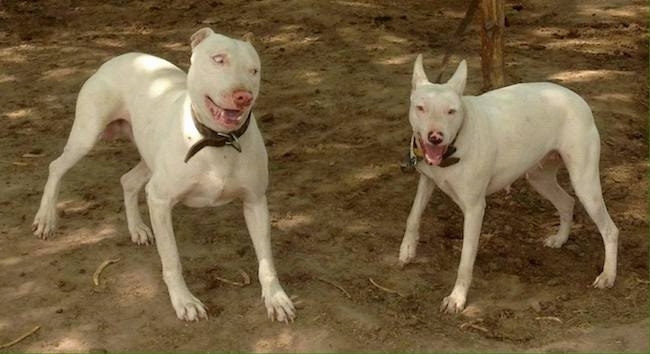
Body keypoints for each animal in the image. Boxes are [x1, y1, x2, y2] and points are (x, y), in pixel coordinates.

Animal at [31, 27, 294, 320]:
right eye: (218, 59)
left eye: (254, 70)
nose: (243, 96)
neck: (217, 141)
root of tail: (120, 58)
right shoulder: (159, 200)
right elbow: (171, 258)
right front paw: (184, 301)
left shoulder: (255, 202)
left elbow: (266, 260)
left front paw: (276, 298)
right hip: (87, 135)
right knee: (56, 167)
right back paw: (46, 219)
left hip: (149, 157)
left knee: (128, 181)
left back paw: (137, 229)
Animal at [398, 54, 616, 312]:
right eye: (420, 108)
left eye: (451, 111)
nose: (435, 137)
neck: (456, 143)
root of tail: (578, 99)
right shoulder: (427, 180)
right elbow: (413, 215)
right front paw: (407, 249)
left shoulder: (475, 209)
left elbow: (465, 260)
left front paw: (457, 298)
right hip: (540, 177)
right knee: (567, 202)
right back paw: (560, 239)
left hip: (584, 182)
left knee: (610, 230)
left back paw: (608, 276)